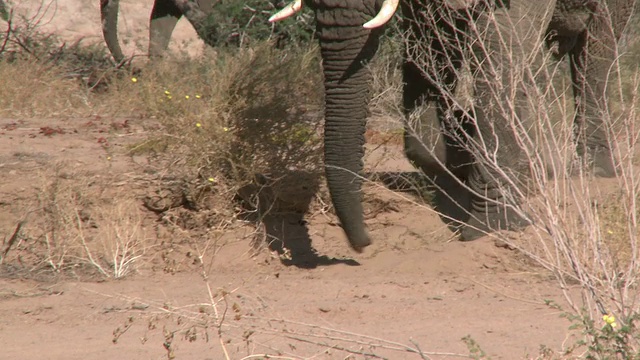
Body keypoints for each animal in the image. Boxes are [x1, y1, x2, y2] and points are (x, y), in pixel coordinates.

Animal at [268, 0, 636, 252]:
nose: (364, 244)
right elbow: (428, 45)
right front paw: (460, 159)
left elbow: (498, 50)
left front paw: (490, 228)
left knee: (594, 51)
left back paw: (592, 170)